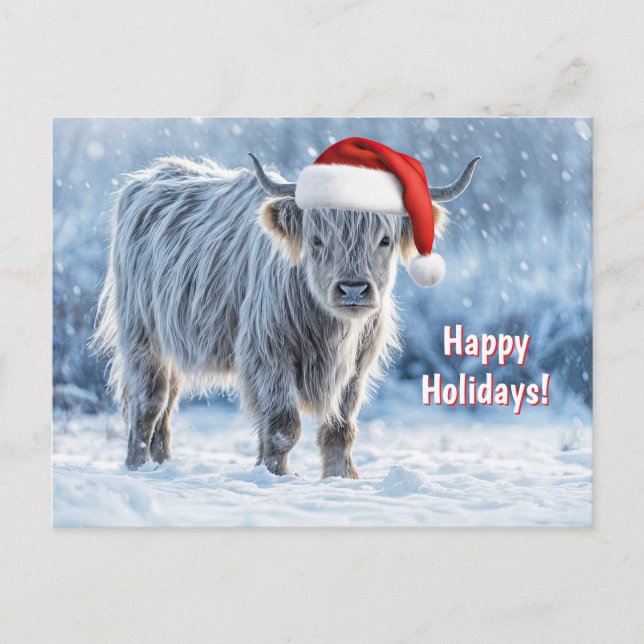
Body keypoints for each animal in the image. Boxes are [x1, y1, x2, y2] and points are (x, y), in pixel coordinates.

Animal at [93, 147, 479, 478]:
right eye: (317, 238)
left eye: (384, 239)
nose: (353, 289)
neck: (330, 328)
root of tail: (151, 175)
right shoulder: (268, 352)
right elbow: (282, 425)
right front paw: (277, 475)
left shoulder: (356, 364)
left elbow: (340, 427)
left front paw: (341, 477)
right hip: (142, 335)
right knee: (148, 403)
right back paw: (138, 467)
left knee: (167, 407)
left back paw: (163, 465)